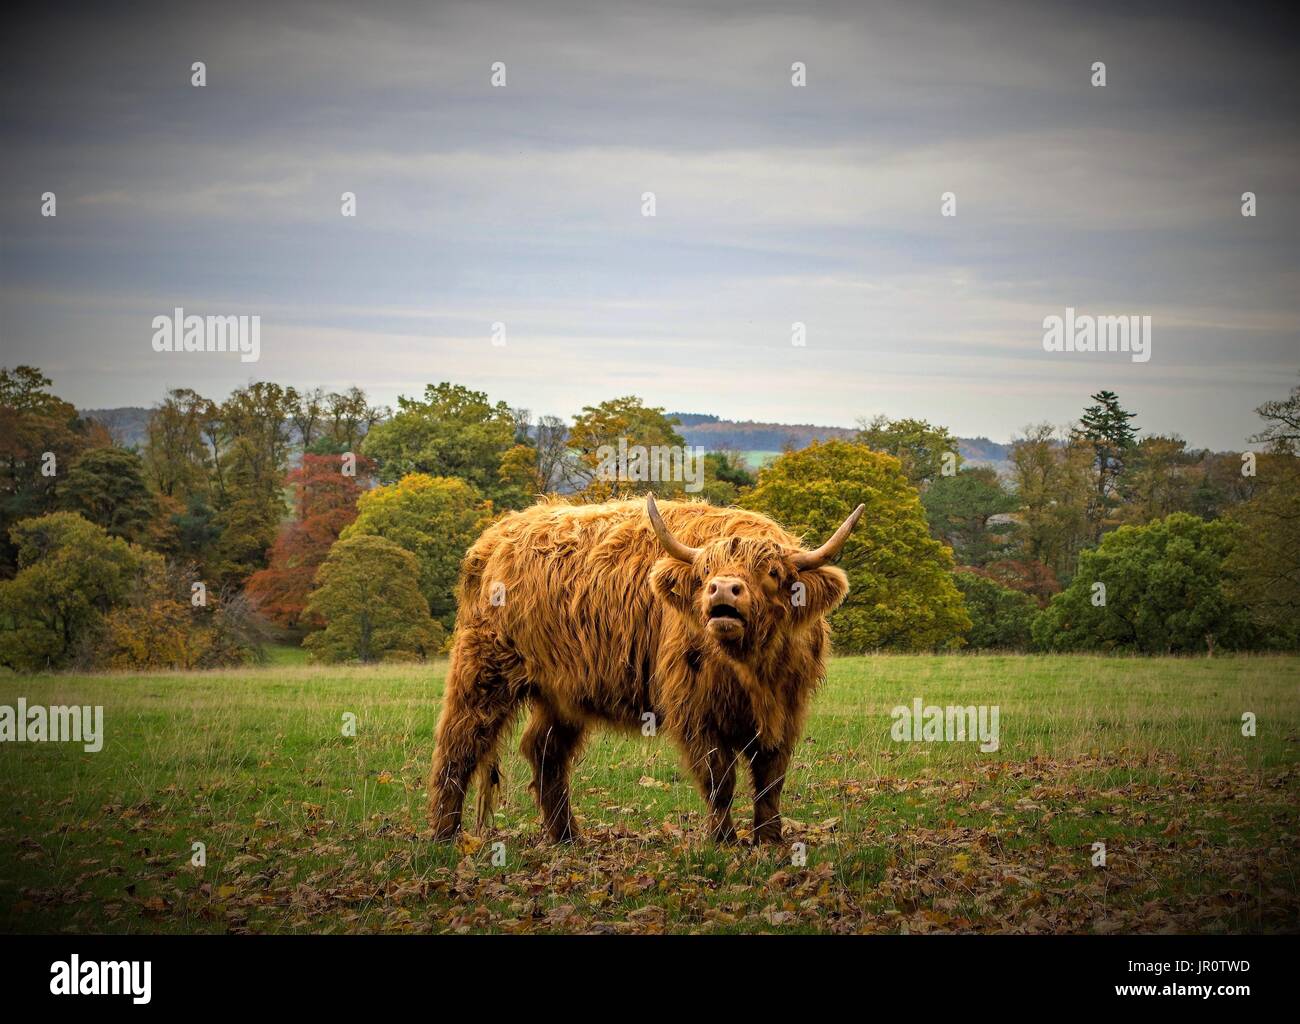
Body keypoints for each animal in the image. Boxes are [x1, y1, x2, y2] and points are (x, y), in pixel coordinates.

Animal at [426, 493, 868, 842]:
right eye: (704, 574)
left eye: (772, 572)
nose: (723, 590)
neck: (749, 669)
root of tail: (495, 536)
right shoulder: (694, 709)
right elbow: (719, 777)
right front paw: (723, 840)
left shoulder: (786, 709)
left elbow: (770, 778)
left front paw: (770, 839)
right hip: (484, 666)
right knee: (459, 743)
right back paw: (445, 835)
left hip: (561, 690)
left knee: (545, 751)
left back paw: (566, 837)